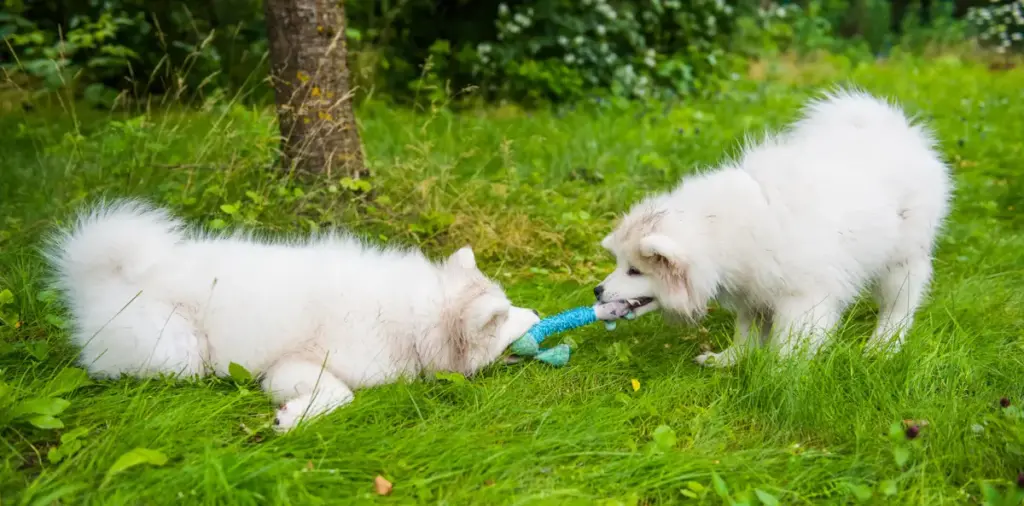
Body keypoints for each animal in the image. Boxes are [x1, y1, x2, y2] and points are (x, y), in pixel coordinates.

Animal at [46, 201, 544, 430]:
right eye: (505, 320)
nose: (541, 312)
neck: (413, 318)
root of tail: (97, 281)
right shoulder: (299, 363)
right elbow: (343, 395)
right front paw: (293, 419)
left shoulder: (286, 369)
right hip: (177, 352)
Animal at [593, 90, 950, 366]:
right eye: (620, 264)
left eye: (635, 271)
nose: (596, 291)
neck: (720, 232)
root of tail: (897, 130)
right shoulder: (752, 294)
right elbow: (746, 334)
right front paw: (729, 360)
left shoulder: (803, 299)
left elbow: (788, 345)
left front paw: (775, 376)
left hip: (901, 259)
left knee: (900, 304)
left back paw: (884, 344)